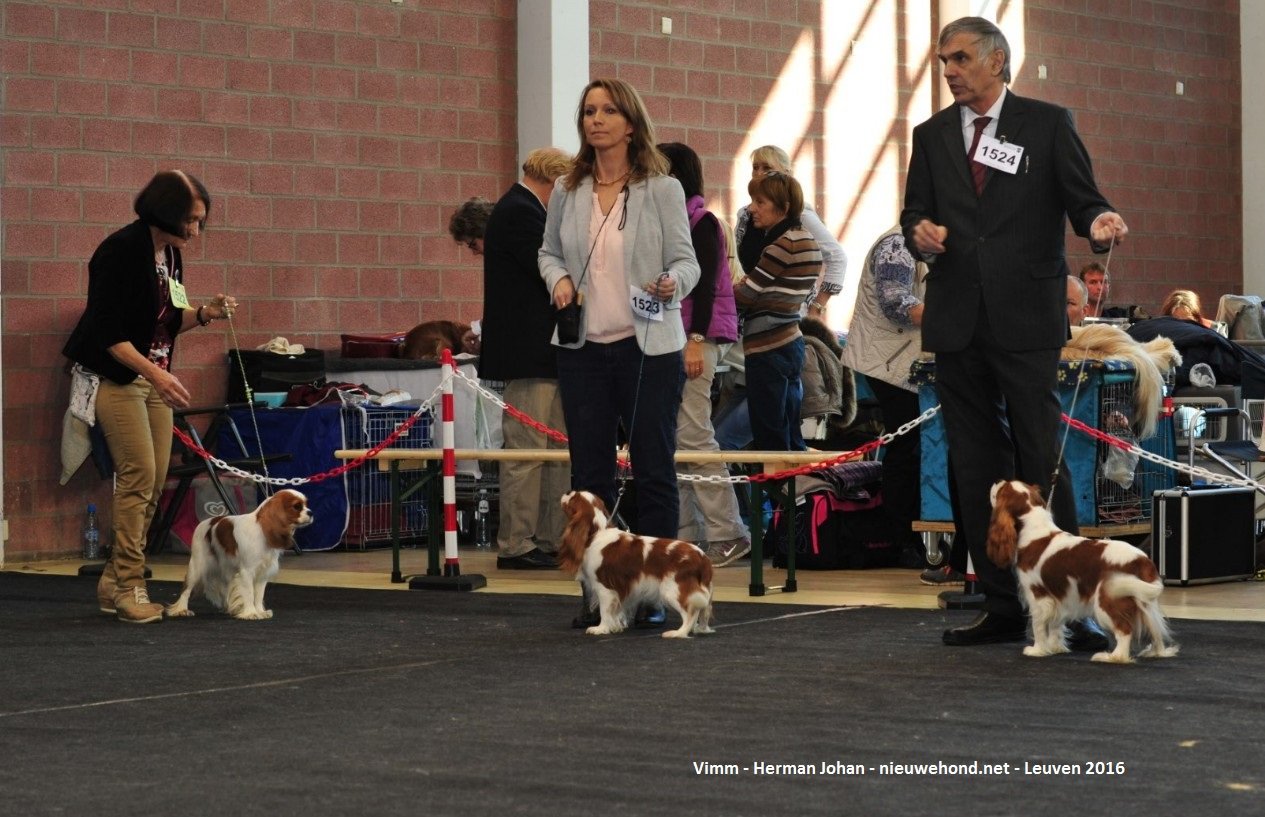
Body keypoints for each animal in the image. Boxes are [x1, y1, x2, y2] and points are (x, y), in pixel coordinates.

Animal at [166, 485, 312, 622]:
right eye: (296, 506)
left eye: (306, 504)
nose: (310, 512)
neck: (262, 529)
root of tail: (206, 522)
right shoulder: (247, 571)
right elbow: (249, 593)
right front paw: (251, 613)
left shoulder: (262, 573)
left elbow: (259, 595)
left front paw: (260, 611)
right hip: (197, 565)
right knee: (186, 589)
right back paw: (181, 609)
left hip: (226, 569)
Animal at [561, 493, 718, 639]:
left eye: (572, 497)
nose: (567, 491)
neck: (597, 532)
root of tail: (703, 557)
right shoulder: (620, 588)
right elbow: (616, 610)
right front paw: (615, 627)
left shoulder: (605, 588)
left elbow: (604, 610)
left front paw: (601, 628)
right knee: (703, 611)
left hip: (674, 589)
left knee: (690, 613)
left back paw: (678, 633)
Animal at [986, 480, 1173, 667]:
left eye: (1002, 489)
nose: (997, 481)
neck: (1035, 531)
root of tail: (1142, 559)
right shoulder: (1059, 596)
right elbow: (1055, 625)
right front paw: (1055, 647)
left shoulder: (1038, 596)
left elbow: (1038, 625)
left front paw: (1037, 650)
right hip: (1144, 599)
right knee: (1155, 628)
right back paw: (1157, 651)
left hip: (1109, 598)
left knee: (1124, 630)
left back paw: (1113, 657)